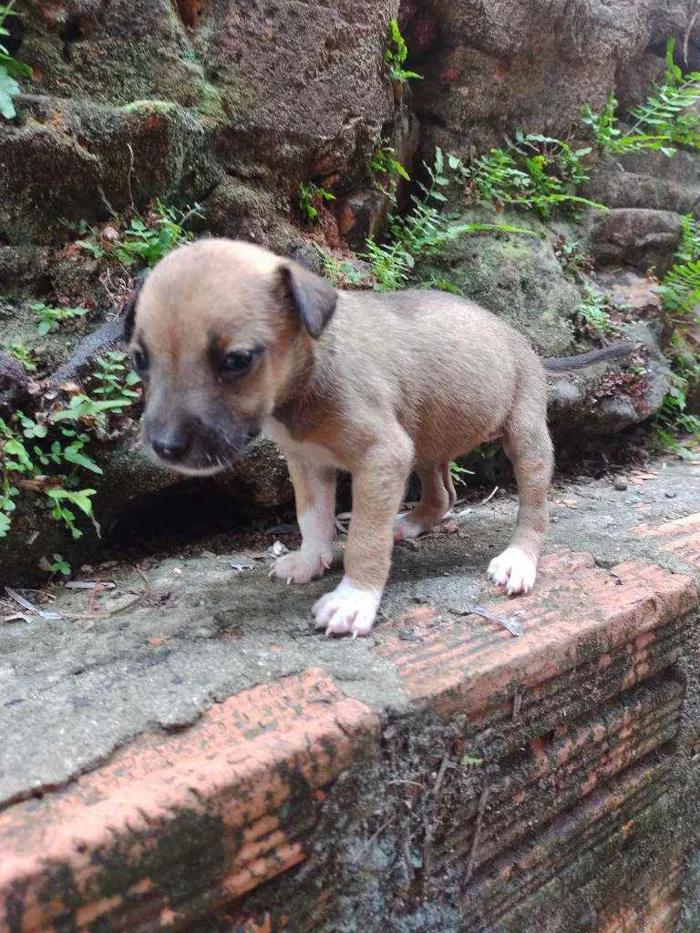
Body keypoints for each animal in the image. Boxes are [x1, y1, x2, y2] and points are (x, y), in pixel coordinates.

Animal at [124, 237, 552, 636]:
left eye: (236, 360)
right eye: (139, 358)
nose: (165, 447)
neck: (308, 374)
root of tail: (515, 334)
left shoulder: (382, 457)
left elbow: (364, 538)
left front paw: (354, 599)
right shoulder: (307, 462)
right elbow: (311, 517)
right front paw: (309, 560)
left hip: (524, 433)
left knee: (534, 504)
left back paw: (518, 561)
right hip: (427, 440)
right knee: (443, 493)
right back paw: (411, 524)